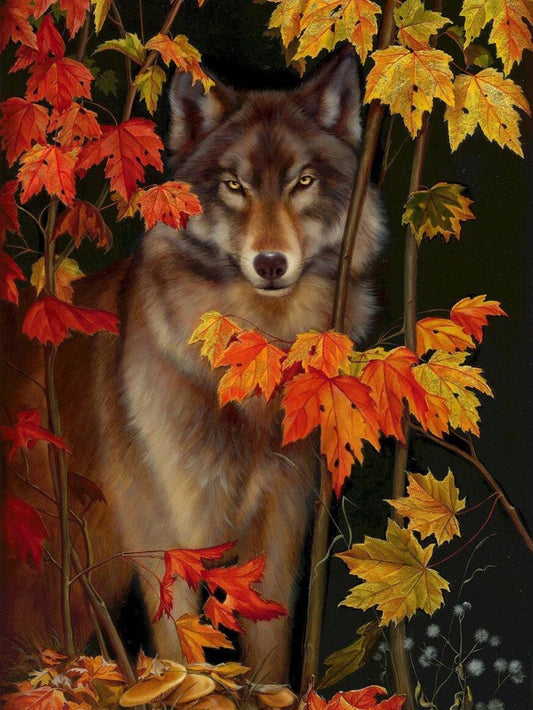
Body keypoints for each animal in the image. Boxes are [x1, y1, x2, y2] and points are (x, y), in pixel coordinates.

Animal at [1, 51, 385, 682]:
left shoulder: (281, 528)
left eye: (302, 182)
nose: (271, 263)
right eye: (234, 186)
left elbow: (269, 652)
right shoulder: (166, 535)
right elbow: (184, 652)